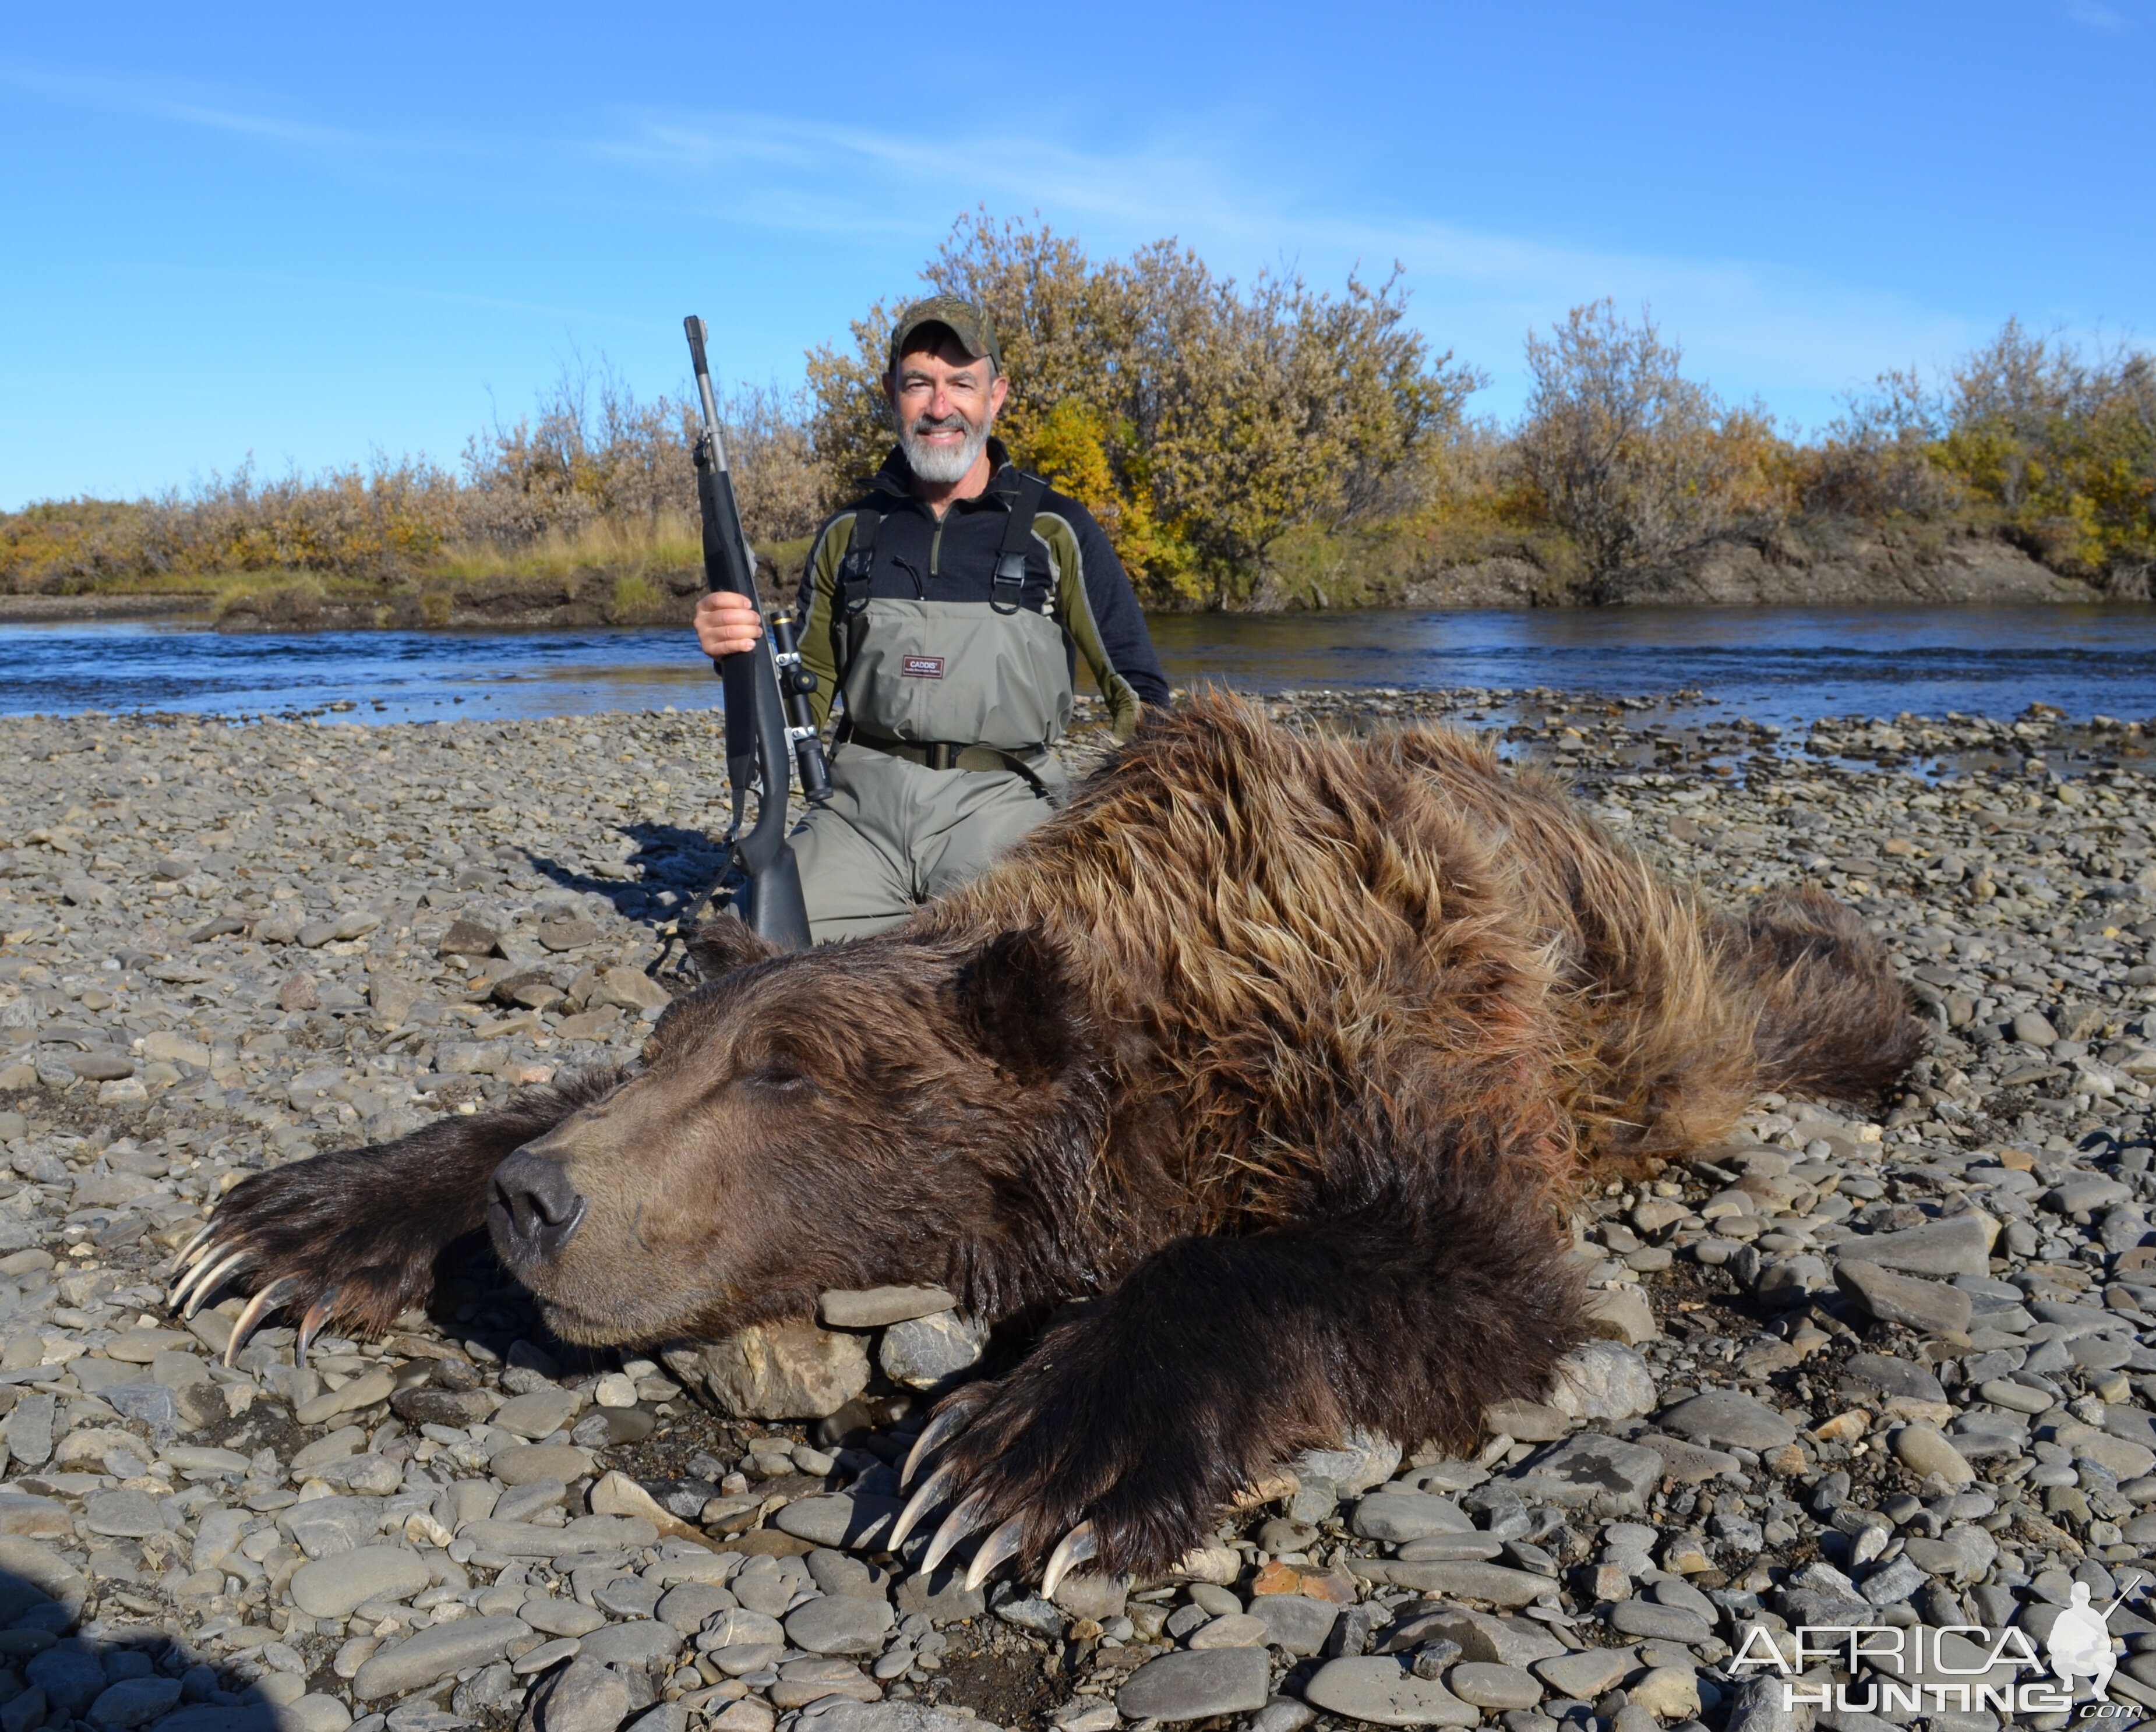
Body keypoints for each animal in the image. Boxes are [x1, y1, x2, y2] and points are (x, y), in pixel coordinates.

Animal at [177, 698, 1914, 1594]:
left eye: (788, 1073)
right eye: (687, 1049)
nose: (542, 1200)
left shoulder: (1417, 1040)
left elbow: (1442, 1274)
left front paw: (1018, 1461)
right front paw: (291, 1222)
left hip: (1658, 1005)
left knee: (1773, 996)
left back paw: (1862, 993)